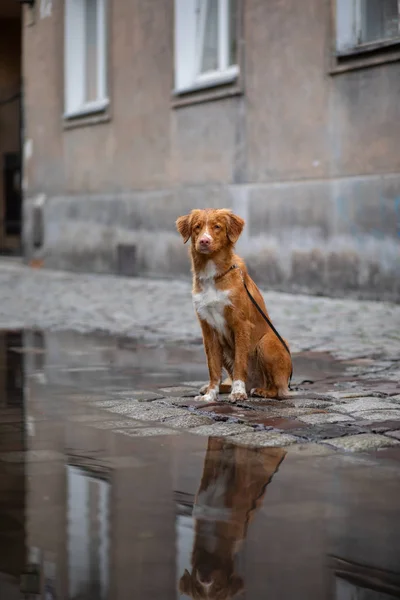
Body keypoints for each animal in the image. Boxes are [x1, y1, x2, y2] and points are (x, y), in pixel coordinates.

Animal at [175, 207, 290, 404]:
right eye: (197, 227)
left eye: (217, 227)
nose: (204, 241)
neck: (212, 275)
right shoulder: (208, 329)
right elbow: (213, 367)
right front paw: (210, 395)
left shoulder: (240, 324)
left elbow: (239, 363)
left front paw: (238, 392)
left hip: (268, 342)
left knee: (277, 388)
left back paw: (262, 391)